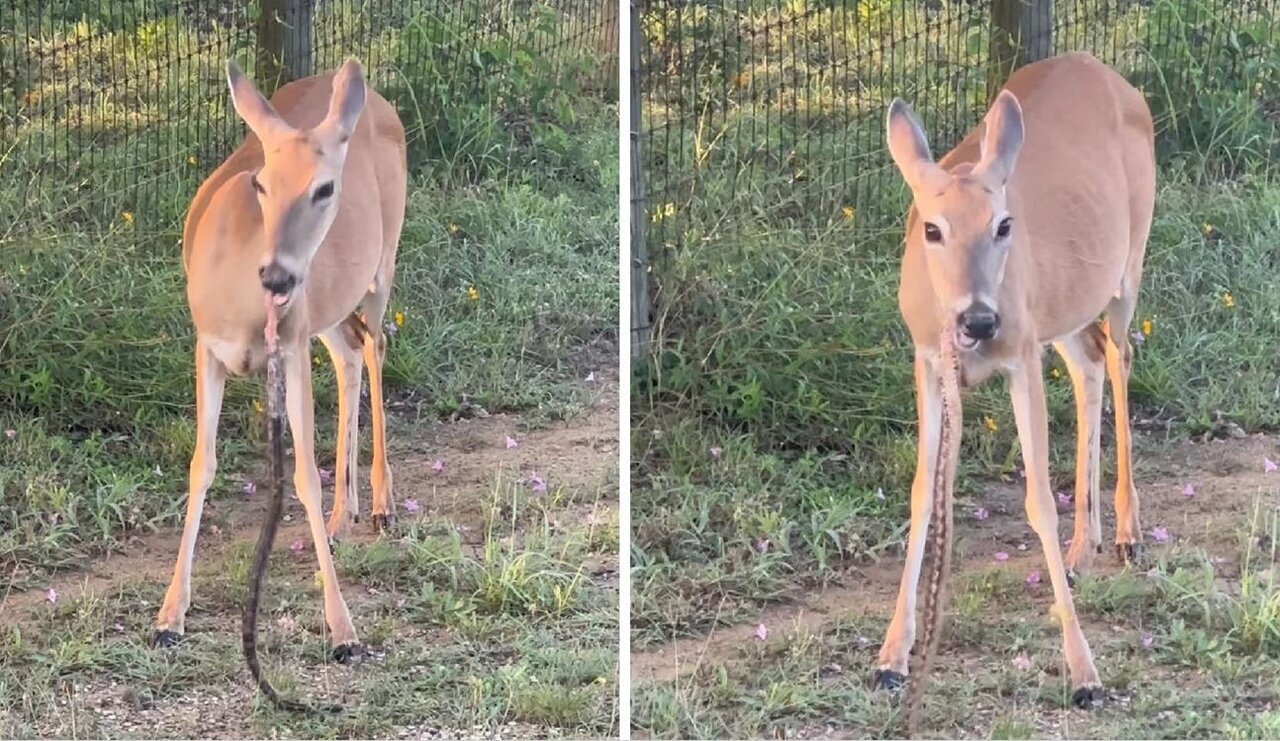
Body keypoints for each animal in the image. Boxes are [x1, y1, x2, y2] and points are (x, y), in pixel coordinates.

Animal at [152, 56, 407, 670]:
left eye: (326, 187)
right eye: (262, 183)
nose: (276, 275)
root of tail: (375, 100)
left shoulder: (288, 348)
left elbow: (302, 475)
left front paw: (343, 631)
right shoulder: (206, 345)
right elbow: (202, 464)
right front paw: (169, 616)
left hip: (381, 261)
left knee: (376, 344)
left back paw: (381, 504)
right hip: (324, 306)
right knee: (351, 350)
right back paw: (343, 516)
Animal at [875, 50, 1157, 716]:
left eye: (1004, 224)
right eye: (931, 229)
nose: (979, 320)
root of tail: (1108, 72)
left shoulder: (1021, 356)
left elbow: (1038, 502)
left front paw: (1085, 674)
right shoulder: (929, 360)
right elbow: (923, 493)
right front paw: (892, 657)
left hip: (1127, 261)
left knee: (1121, 355)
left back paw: (1128, 534)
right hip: (1063, 306)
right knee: (1090, 361)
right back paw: (1084, 550)